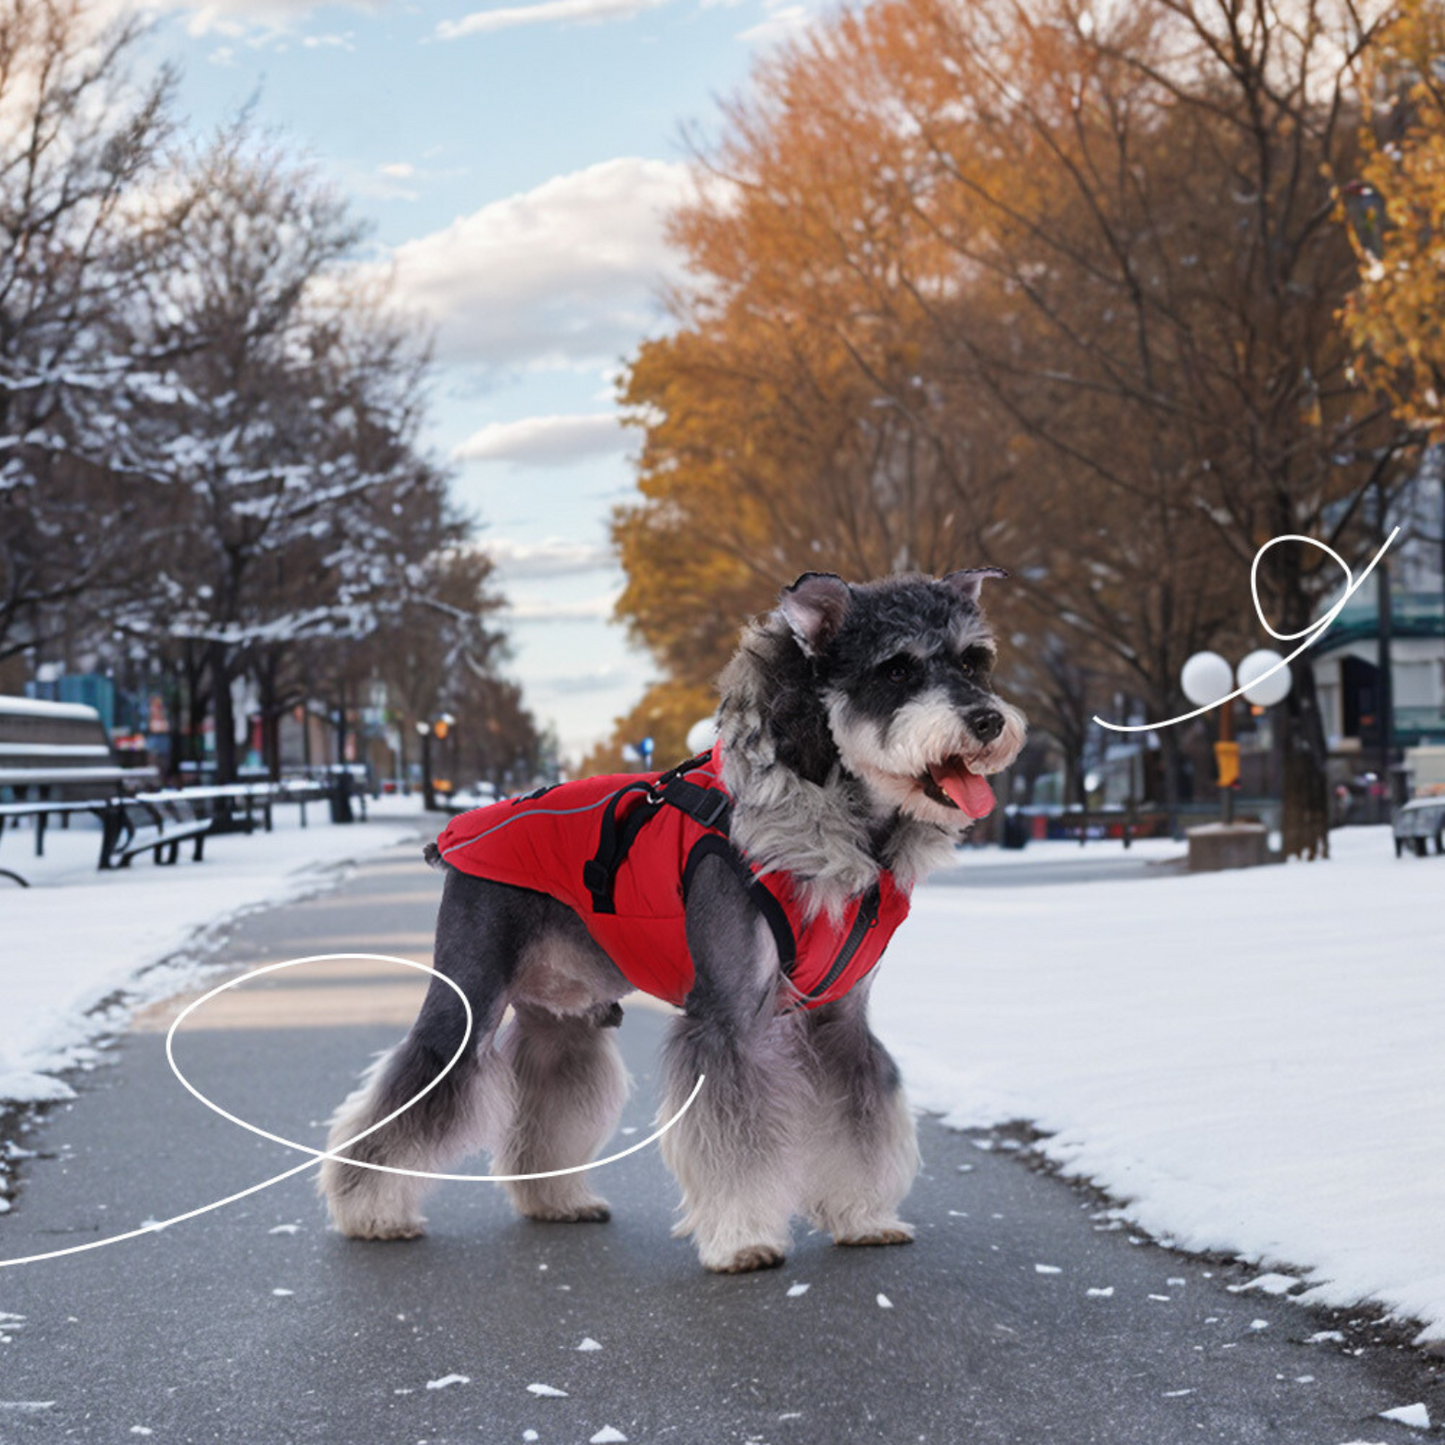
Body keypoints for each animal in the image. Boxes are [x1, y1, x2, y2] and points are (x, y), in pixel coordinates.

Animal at [319, 569, 1028, 1271]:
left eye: (975, 661)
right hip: (466, 1003)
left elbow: (860, 1119)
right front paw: (742, 1237)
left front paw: (863, 1217)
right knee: (419, 1080)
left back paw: (554, 1199)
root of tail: (459, 832)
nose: (988, 720)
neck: (841, 829)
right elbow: (735, 1138)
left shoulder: (841, 1020)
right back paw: (370, 1211)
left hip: (561, 1019)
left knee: (548, 1099)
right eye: (896, 669)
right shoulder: (728, 1016)